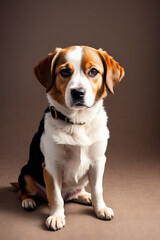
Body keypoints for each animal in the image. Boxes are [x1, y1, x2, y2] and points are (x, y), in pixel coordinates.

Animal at [11, 45, 124, 231]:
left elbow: (98, 189)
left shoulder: (98, 161)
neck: (78, 122)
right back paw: (28, 201)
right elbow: (55, 196)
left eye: (93, 72)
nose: (78, 92)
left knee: (75, 193)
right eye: (64, 72)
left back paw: (85, 196)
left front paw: (100, 208)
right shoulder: (51, 166)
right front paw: (56, 216)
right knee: (26, 191)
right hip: (26, 174)